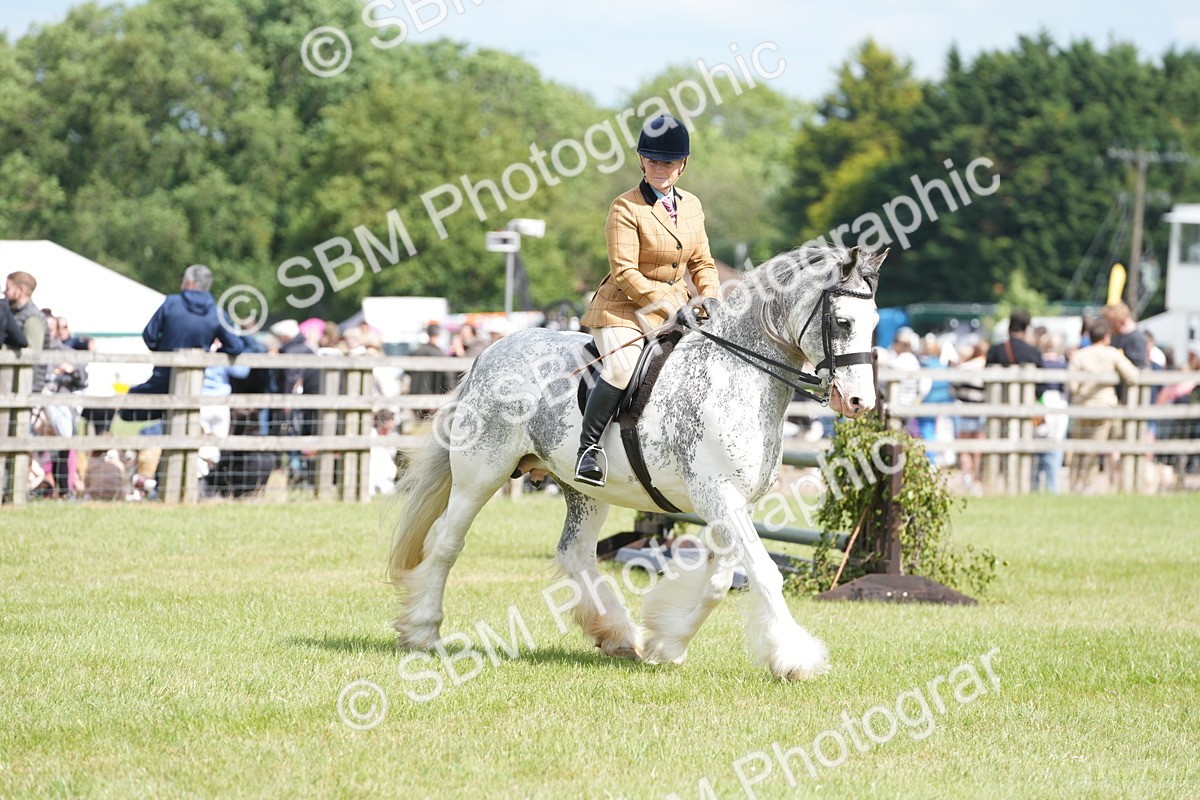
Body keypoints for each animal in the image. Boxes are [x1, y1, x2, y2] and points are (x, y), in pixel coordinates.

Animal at [387, 244, 886, 680]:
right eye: (842, 321)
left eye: (875, 322)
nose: (859, 402)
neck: (738, 375)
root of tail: (492, 352)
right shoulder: (719, 496)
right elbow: (764, 572)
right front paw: (795, 659)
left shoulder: (731, 505)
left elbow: (721, 581)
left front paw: (670, 642)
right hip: (481, 472)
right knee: (447, 542)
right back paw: (423, 631)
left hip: (583, 490)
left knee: (574, 553)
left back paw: (618, 634)